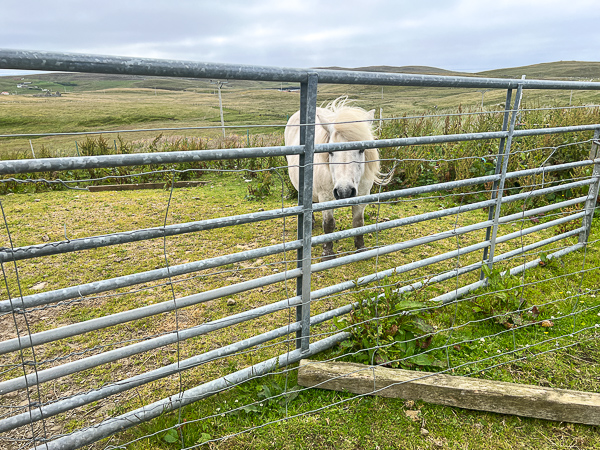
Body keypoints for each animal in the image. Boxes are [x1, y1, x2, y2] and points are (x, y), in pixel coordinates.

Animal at [284, 97, 386, 260]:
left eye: (362, 149)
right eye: (330, 151)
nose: (344, 192)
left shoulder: (362, 196)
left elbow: (358, 223)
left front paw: (361, 249)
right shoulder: (326, 198)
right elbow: (329, 224)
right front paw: (328, 253)